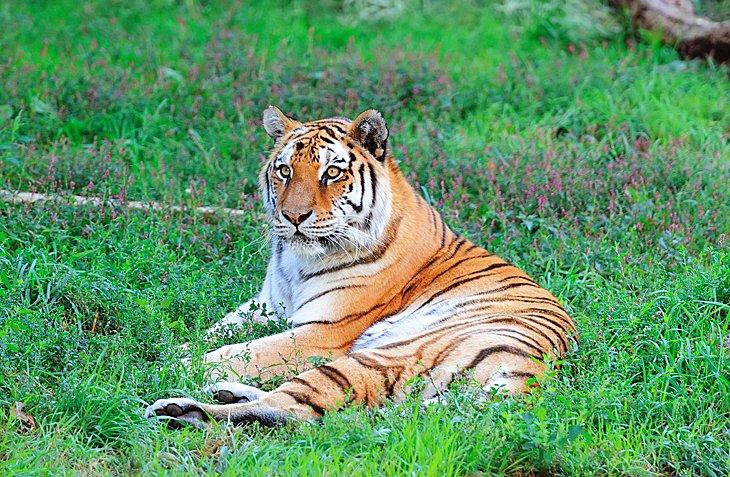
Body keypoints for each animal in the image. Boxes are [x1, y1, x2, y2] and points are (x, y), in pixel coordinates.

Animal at [144, 106, 577, 427]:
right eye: (284, 170)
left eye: (332, 172)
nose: (293, 216)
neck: (295, 261)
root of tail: (527, 378)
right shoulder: (264, 305)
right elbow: (213, 332)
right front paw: (175, 346)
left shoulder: (322, 332)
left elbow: (241, 351)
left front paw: (175, 362)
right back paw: (223, 391)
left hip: (373, 357)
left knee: (295, 408)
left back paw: (182, 411)